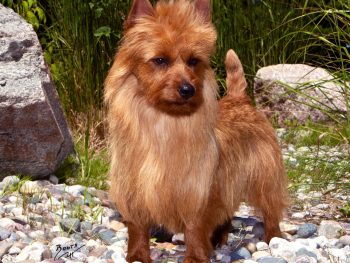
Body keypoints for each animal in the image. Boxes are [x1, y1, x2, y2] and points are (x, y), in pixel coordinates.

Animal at [103, 1, 288, 262]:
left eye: (193, 61)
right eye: (160, 60)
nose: (187, 89)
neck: (164, 123)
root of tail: (239, 99)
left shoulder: (197, 191)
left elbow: (194, 228)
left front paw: (195, 256)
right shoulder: (133, 190)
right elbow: (137, 228)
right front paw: (137, 256)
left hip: (265, 176)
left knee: (270, 209)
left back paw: (271, 238)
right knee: (227, 213)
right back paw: (220, 240)